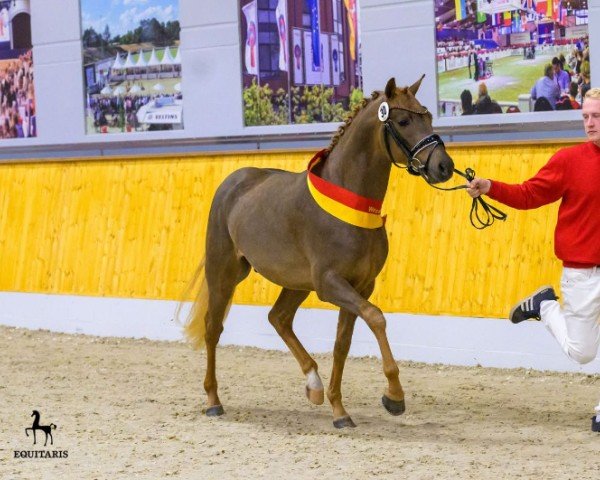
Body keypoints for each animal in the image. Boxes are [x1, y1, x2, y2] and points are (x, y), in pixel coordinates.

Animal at [183, 77, 454, 430]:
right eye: (404, 121)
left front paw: (339, 411)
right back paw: (213, 401)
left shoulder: (360, 285)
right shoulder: (330, 284)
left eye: (429, 116)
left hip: (296, 283)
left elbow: (342, 344)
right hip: (224, 273)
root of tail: (233, 181)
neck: (352, 203)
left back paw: (313, 385)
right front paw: (394, 396)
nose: (444, 166)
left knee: (279, 318)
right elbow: (376, 318)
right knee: (213, 328)